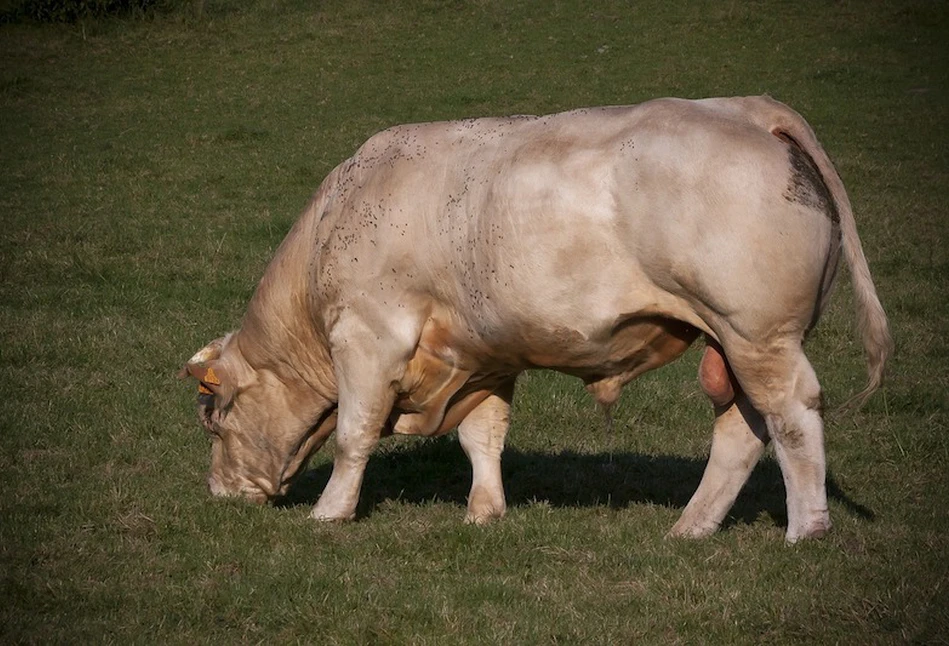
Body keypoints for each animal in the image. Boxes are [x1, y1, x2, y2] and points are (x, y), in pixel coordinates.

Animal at [180, 95, 888, 540]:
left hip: (759, 335)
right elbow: (483, 436)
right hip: (733, 343)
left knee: (792, 417)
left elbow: (356, 433)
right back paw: (691, 527)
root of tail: (746, 108)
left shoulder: (369, 336)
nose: (218, 495)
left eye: (213, 418)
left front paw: (330, 513)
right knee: (742, 430)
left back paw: (805, 530)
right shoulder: (480, 354)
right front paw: (484, 512)